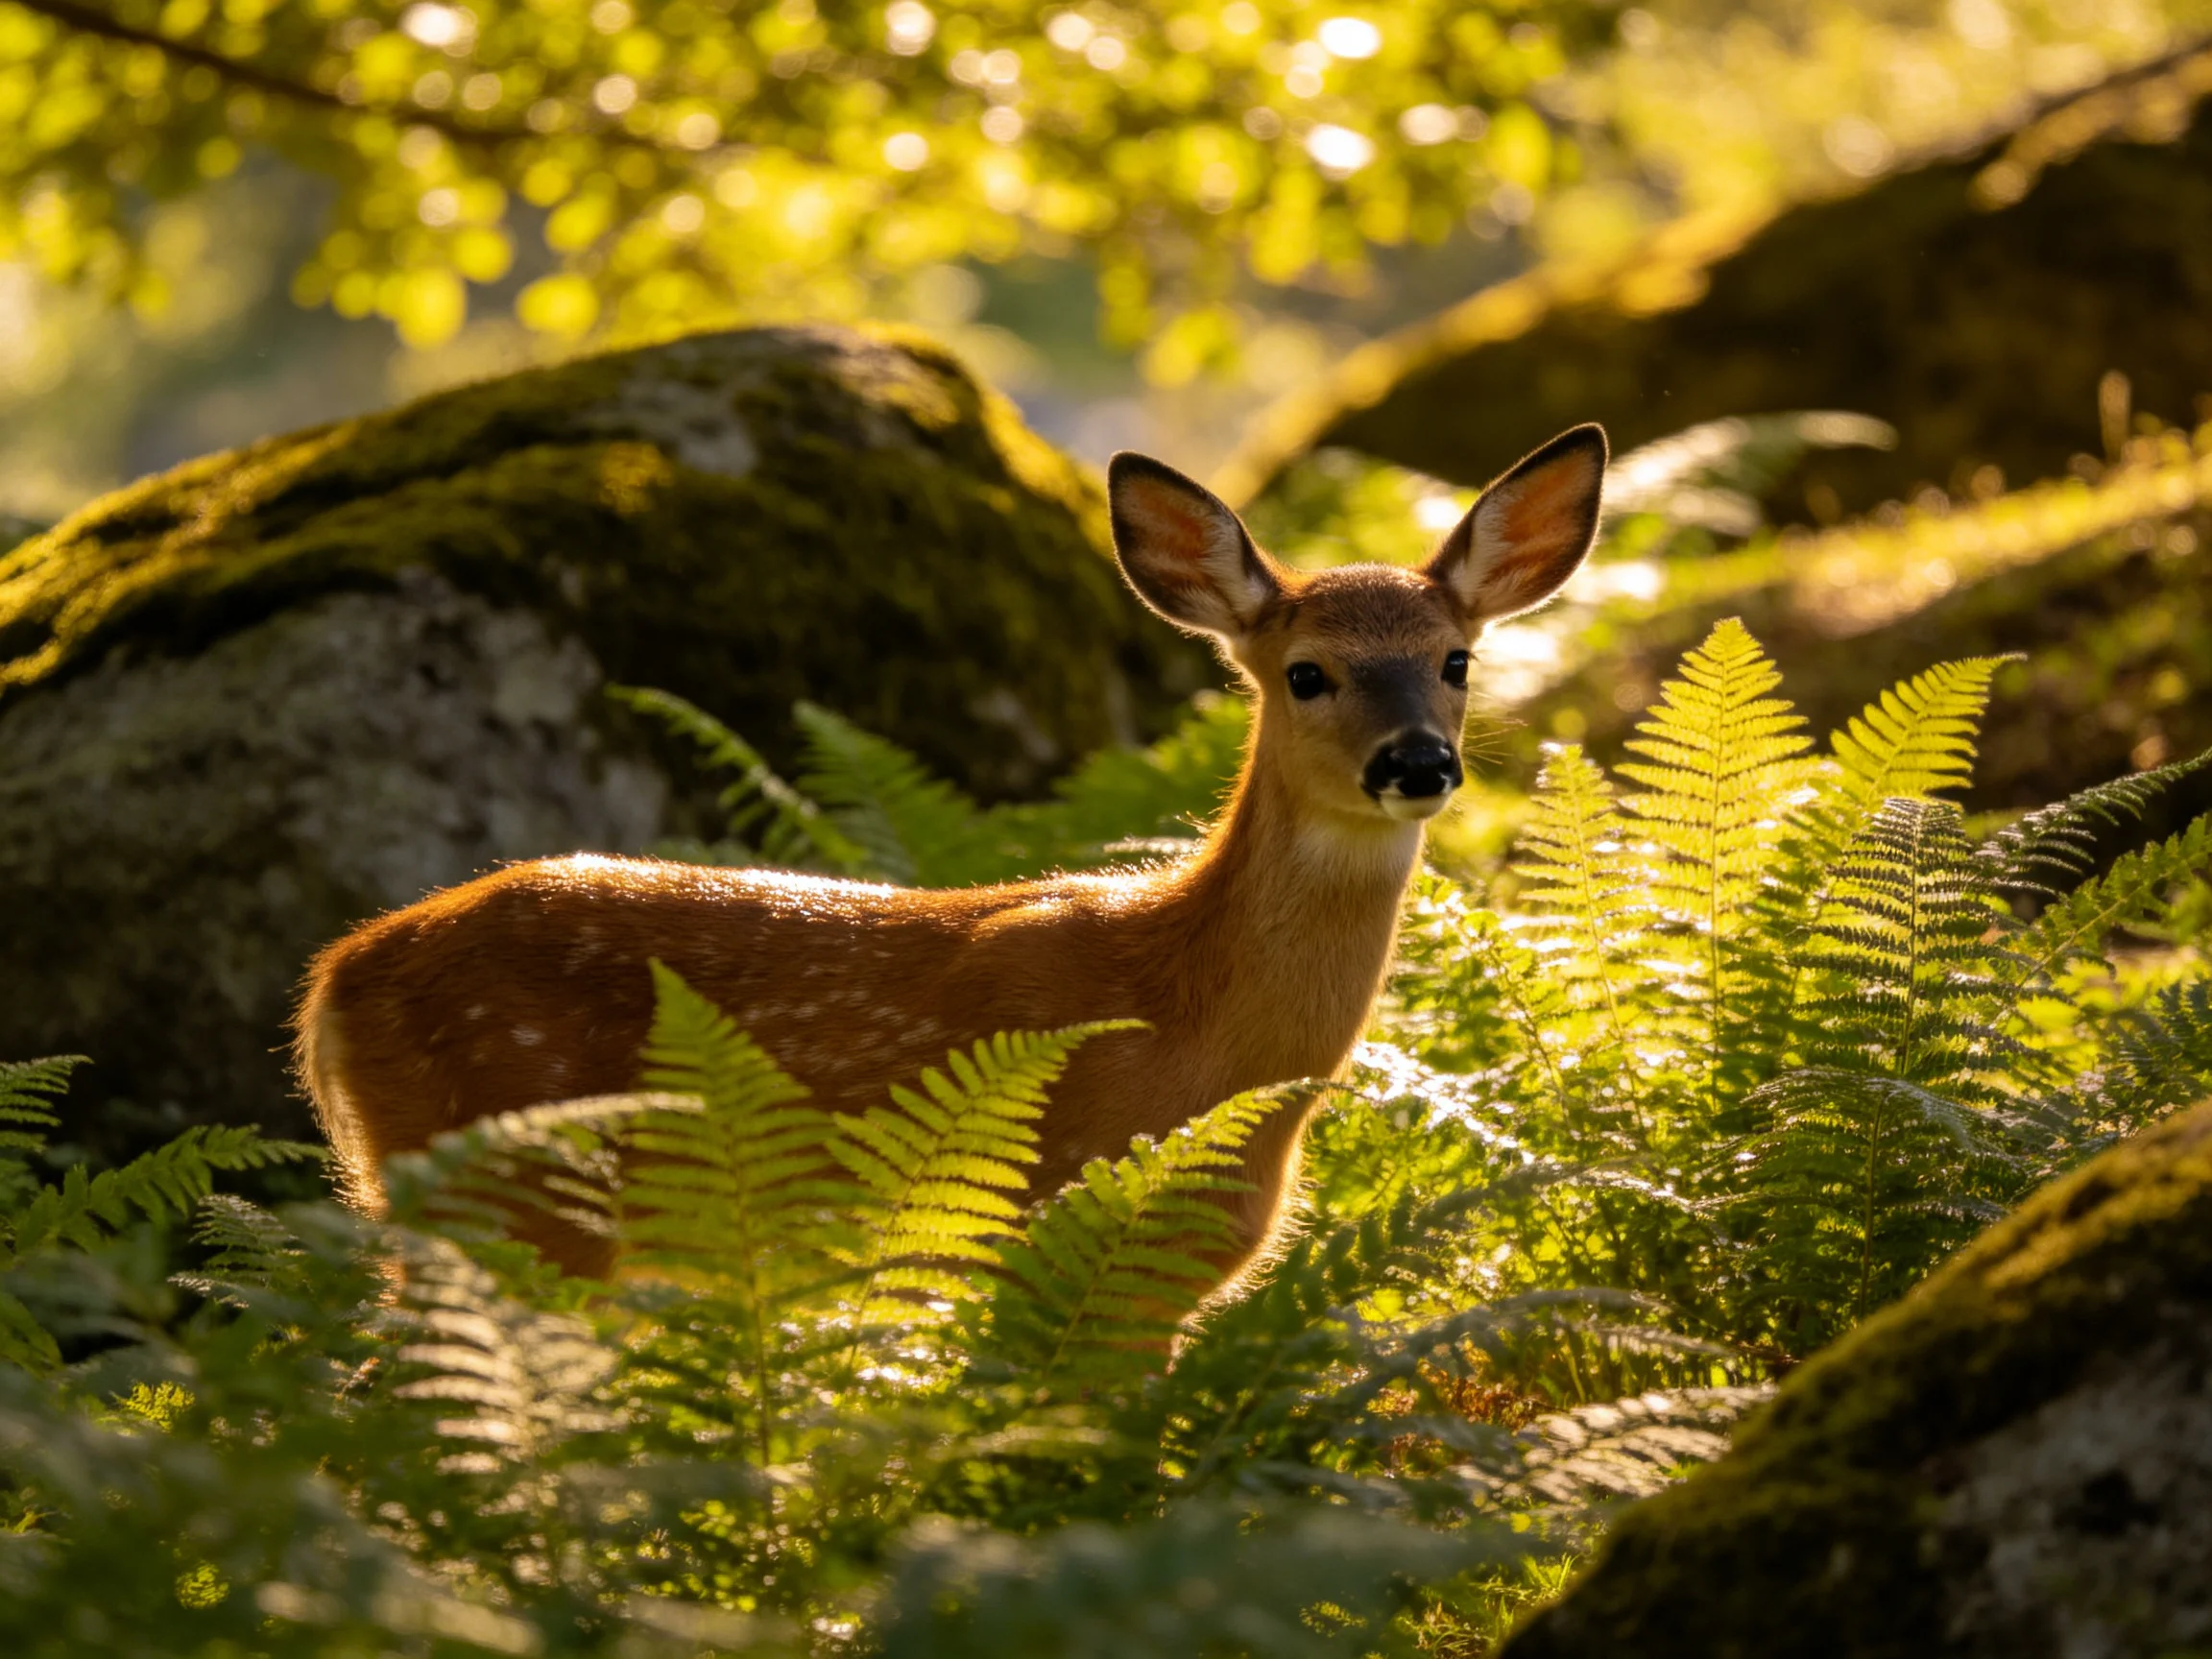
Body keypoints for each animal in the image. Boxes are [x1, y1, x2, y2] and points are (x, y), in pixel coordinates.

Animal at [296, 424, 1607, 1283]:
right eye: (1307, 673)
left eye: (1455, 660)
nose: (1418, 763)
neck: (1194, 1031)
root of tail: (333, 980)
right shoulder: (1047, 1218)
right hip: (510, 1187)